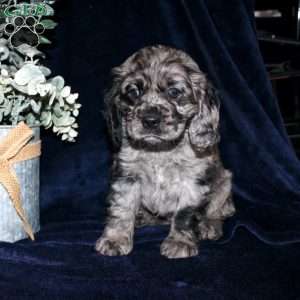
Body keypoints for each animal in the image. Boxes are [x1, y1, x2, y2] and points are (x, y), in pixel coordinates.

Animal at [95, 45, 236, 258]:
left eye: (174, 92)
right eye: (133, 92)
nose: (150, 120)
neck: (159, 152)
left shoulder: (192, 181)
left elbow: (184, 214)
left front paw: (179, 241)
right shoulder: (127, 175)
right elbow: (122, 207)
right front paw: (115, 239)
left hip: (224, 182)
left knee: (216, 210)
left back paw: (209, 225)